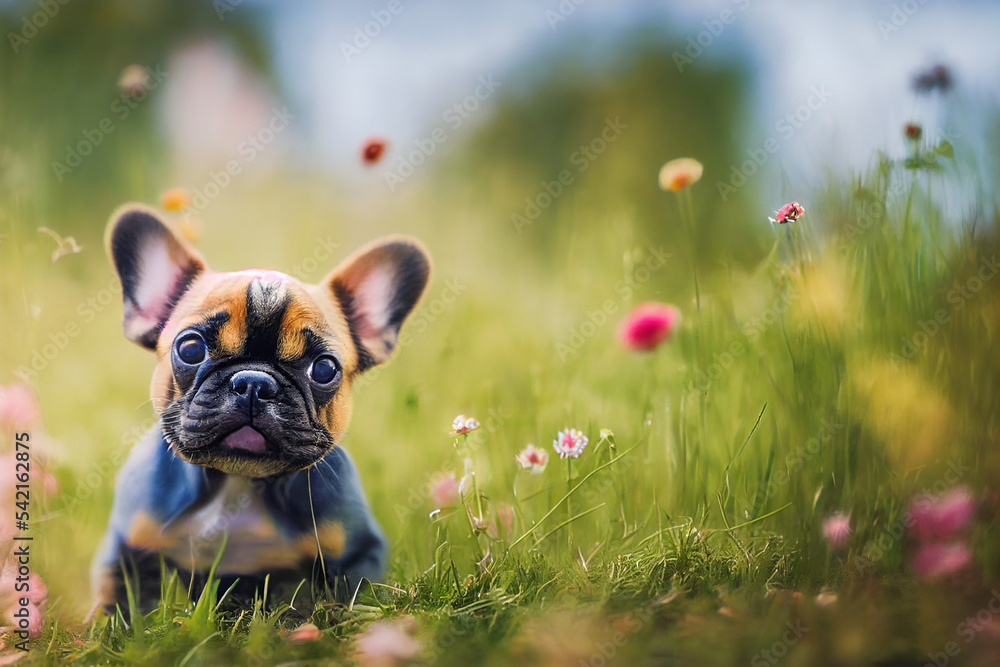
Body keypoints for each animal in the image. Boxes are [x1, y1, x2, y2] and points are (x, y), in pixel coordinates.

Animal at [89, 205, 426, 616]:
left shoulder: (357, 553)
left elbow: (346, 605)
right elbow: (117, 603)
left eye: (325, 368)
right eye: (190, 348)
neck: (239, 480)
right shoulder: (127, 547)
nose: (253, 382)